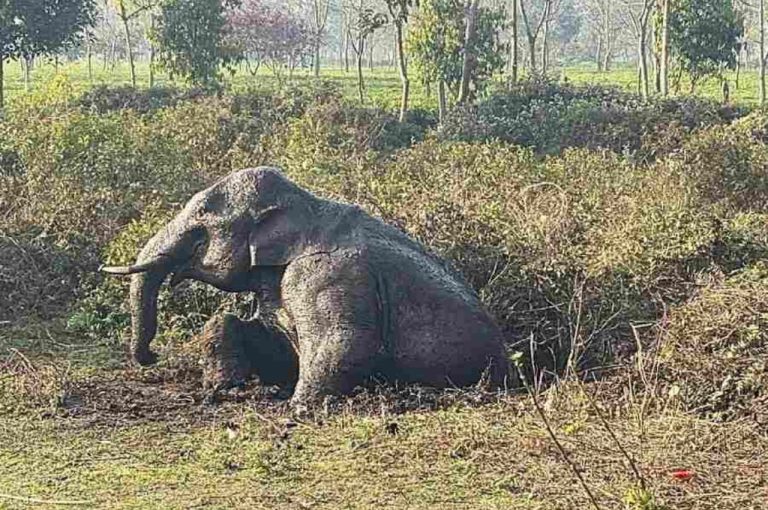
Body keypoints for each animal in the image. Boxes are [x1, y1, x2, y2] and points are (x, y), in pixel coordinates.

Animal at [102, 167, 511, 407]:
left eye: (200, 227)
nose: (152, 355)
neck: (306, 205)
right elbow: (265, 340)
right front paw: (226, 389)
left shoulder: (323, 275)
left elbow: (347, 344)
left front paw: (294, 407)